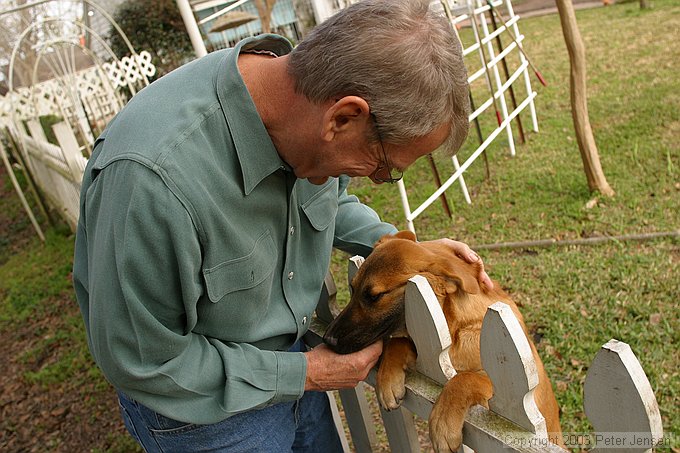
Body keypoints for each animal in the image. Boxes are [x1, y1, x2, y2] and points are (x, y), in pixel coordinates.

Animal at [324, 231, 564, 450]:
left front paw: (442, 423)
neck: (457, 329)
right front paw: (387, 378)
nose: (328, 340)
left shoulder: (503, 399)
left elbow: (463, 379)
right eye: (352, 288)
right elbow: (397, 342)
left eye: (374, 297)